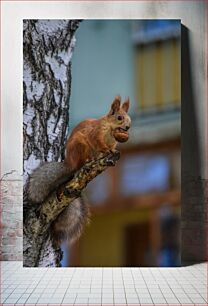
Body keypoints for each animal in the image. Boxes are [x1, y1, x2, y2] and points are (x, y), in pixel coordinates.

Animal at [27, 95, 131, 244]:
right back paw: (88, 161)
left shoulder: (112, 141)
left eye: (129, 118)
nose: (128, 127)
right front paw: (106, 151)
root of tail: (70, 164)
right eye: (119, 117)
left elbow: (112, 147)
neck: (111, 130)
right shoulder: (96, 133)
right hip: (80, 145)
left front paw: (113, 151)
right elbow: (100, 143)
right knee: (82, 161)